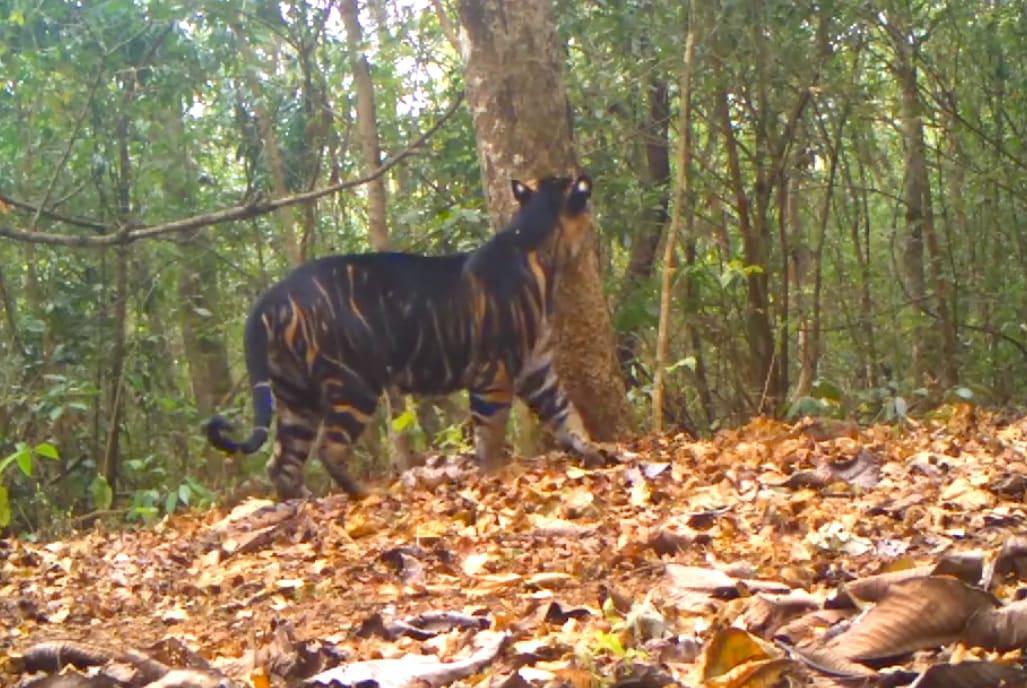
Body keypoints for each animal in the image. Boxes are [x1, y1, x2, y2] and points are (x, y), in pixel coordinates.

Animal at [207, 172, 603, 501]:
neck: (540, 248)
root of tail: (270, 298)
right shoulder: (494, 375)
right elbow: (490, 436)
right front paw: (495, 477)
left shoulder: (538, 368)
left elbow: (566, 412)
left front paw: (594, 450)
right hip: (353, 387)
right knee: (327, 450)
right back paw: (365, 494)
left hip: (295, 395)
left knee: (282, 462)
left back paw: (303, 502)